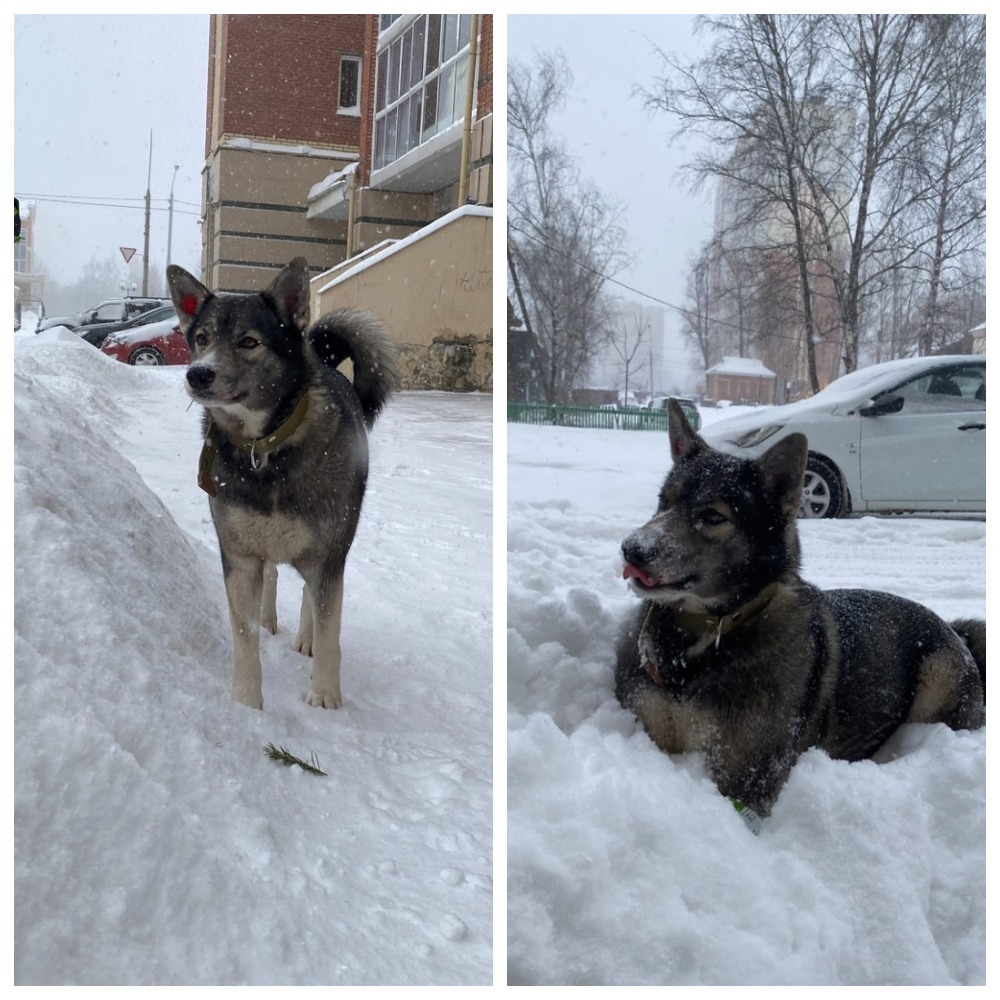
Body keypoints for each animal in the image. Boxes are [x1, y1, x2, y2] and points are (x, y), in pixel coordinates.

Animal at [166, 258, 396, 712]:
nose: (197, 374)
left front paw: (324, 694)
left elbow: (328, 629)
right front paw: (246, 700)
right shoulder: (239, 555)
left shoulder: (328, 555)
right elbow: (243, 634)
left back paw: (305, 638)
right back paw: (270, 617)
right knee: (272, 574)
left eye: (249, 341)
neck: (265, 446)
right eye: (201, 338)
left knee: (310, 597)